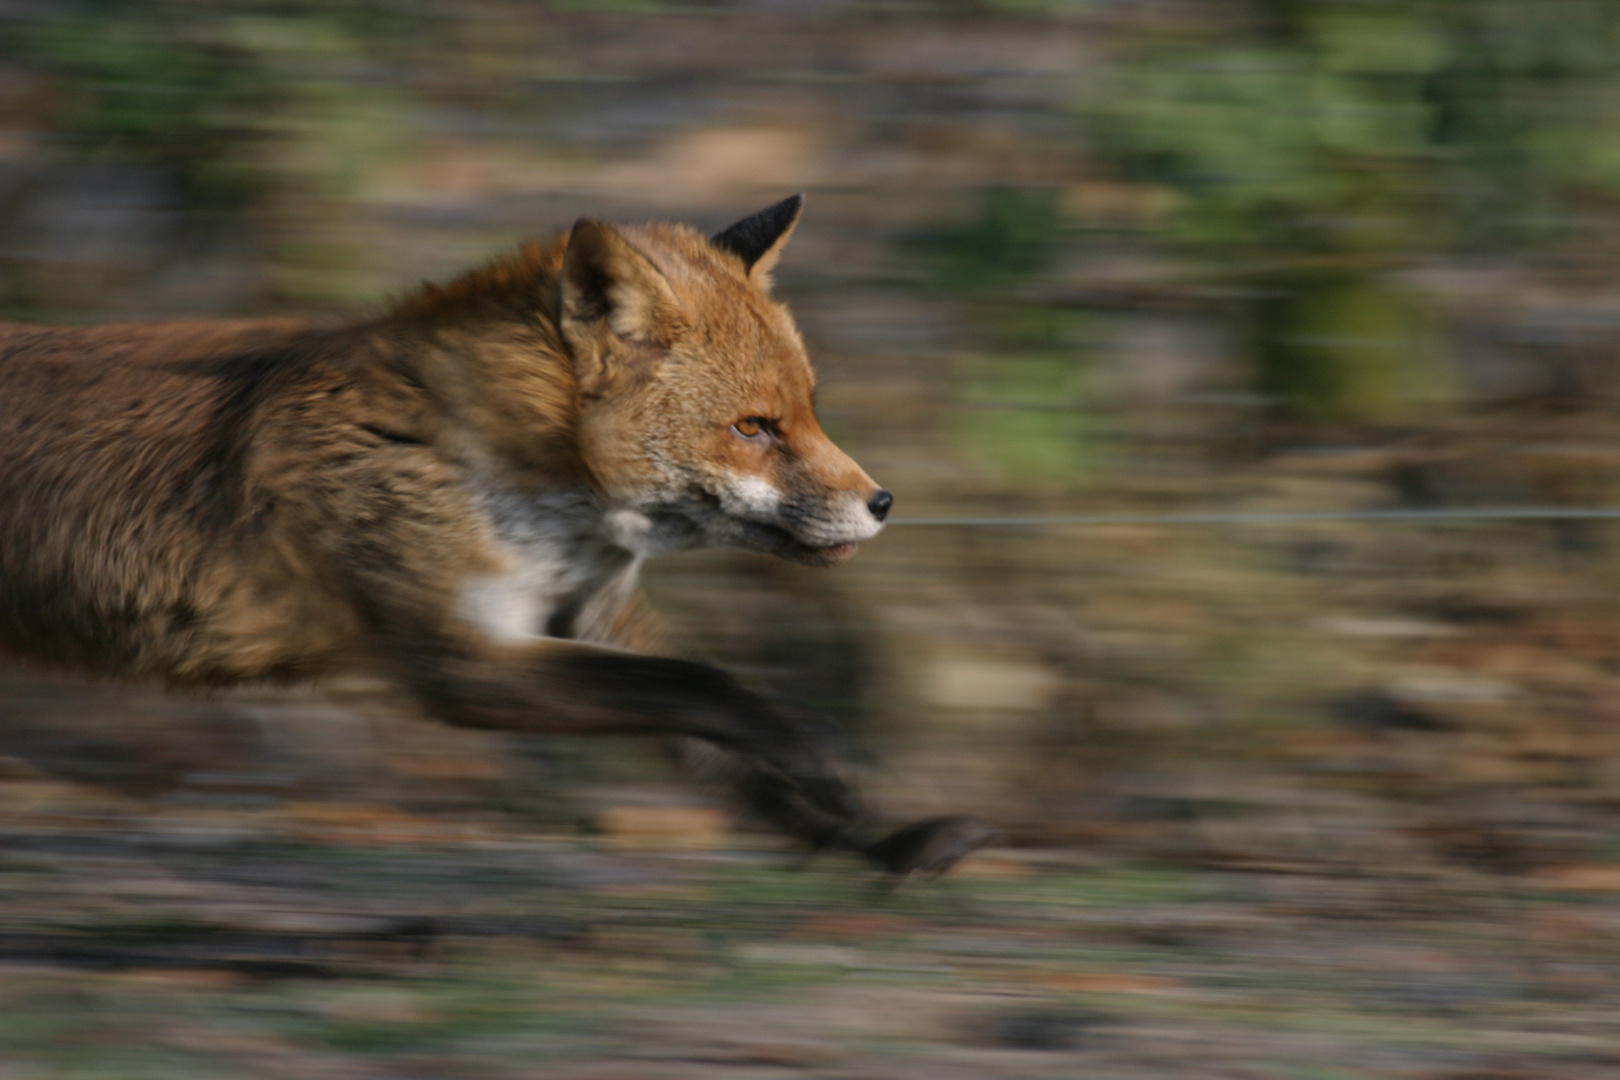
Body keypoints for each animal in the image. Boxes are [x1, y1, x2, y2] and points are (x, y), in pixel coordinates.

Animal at [0, 196, 984, 880]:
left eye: (808, 412)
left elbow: (724, 743)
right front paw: (824, 760)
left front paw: (873, 839)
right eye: (753, 428)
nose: (883, 502)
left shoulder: (588, 619)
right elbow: (712, 688)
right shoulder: (461, 663)